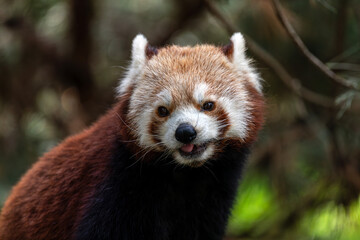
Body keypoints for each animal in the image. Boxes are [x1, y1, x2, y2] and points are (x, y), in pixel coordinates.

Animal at [0, 33, 264, 240]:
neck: (184, 175)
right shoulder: (116, 185)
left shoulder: (211, 199)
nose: (185, 132)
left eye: (208, 105)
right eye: (163, 110)